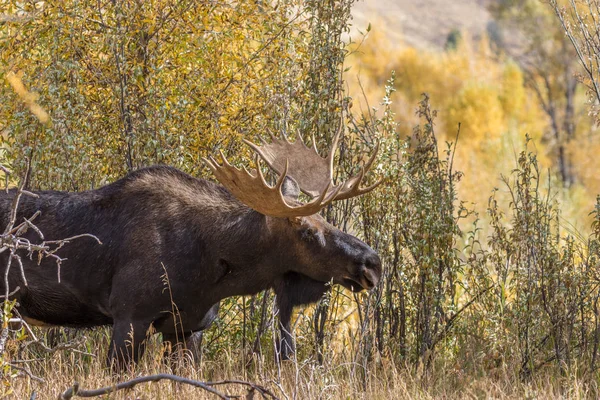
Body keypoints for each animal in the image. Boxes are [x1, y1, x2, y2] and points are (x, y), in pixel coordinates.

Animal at [0, 129, 382, 368]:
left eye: (325, 219)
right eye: (306, 230)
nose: (372, 263)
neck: (213, 268)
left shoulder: (188, 327)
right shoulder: (129, 315)